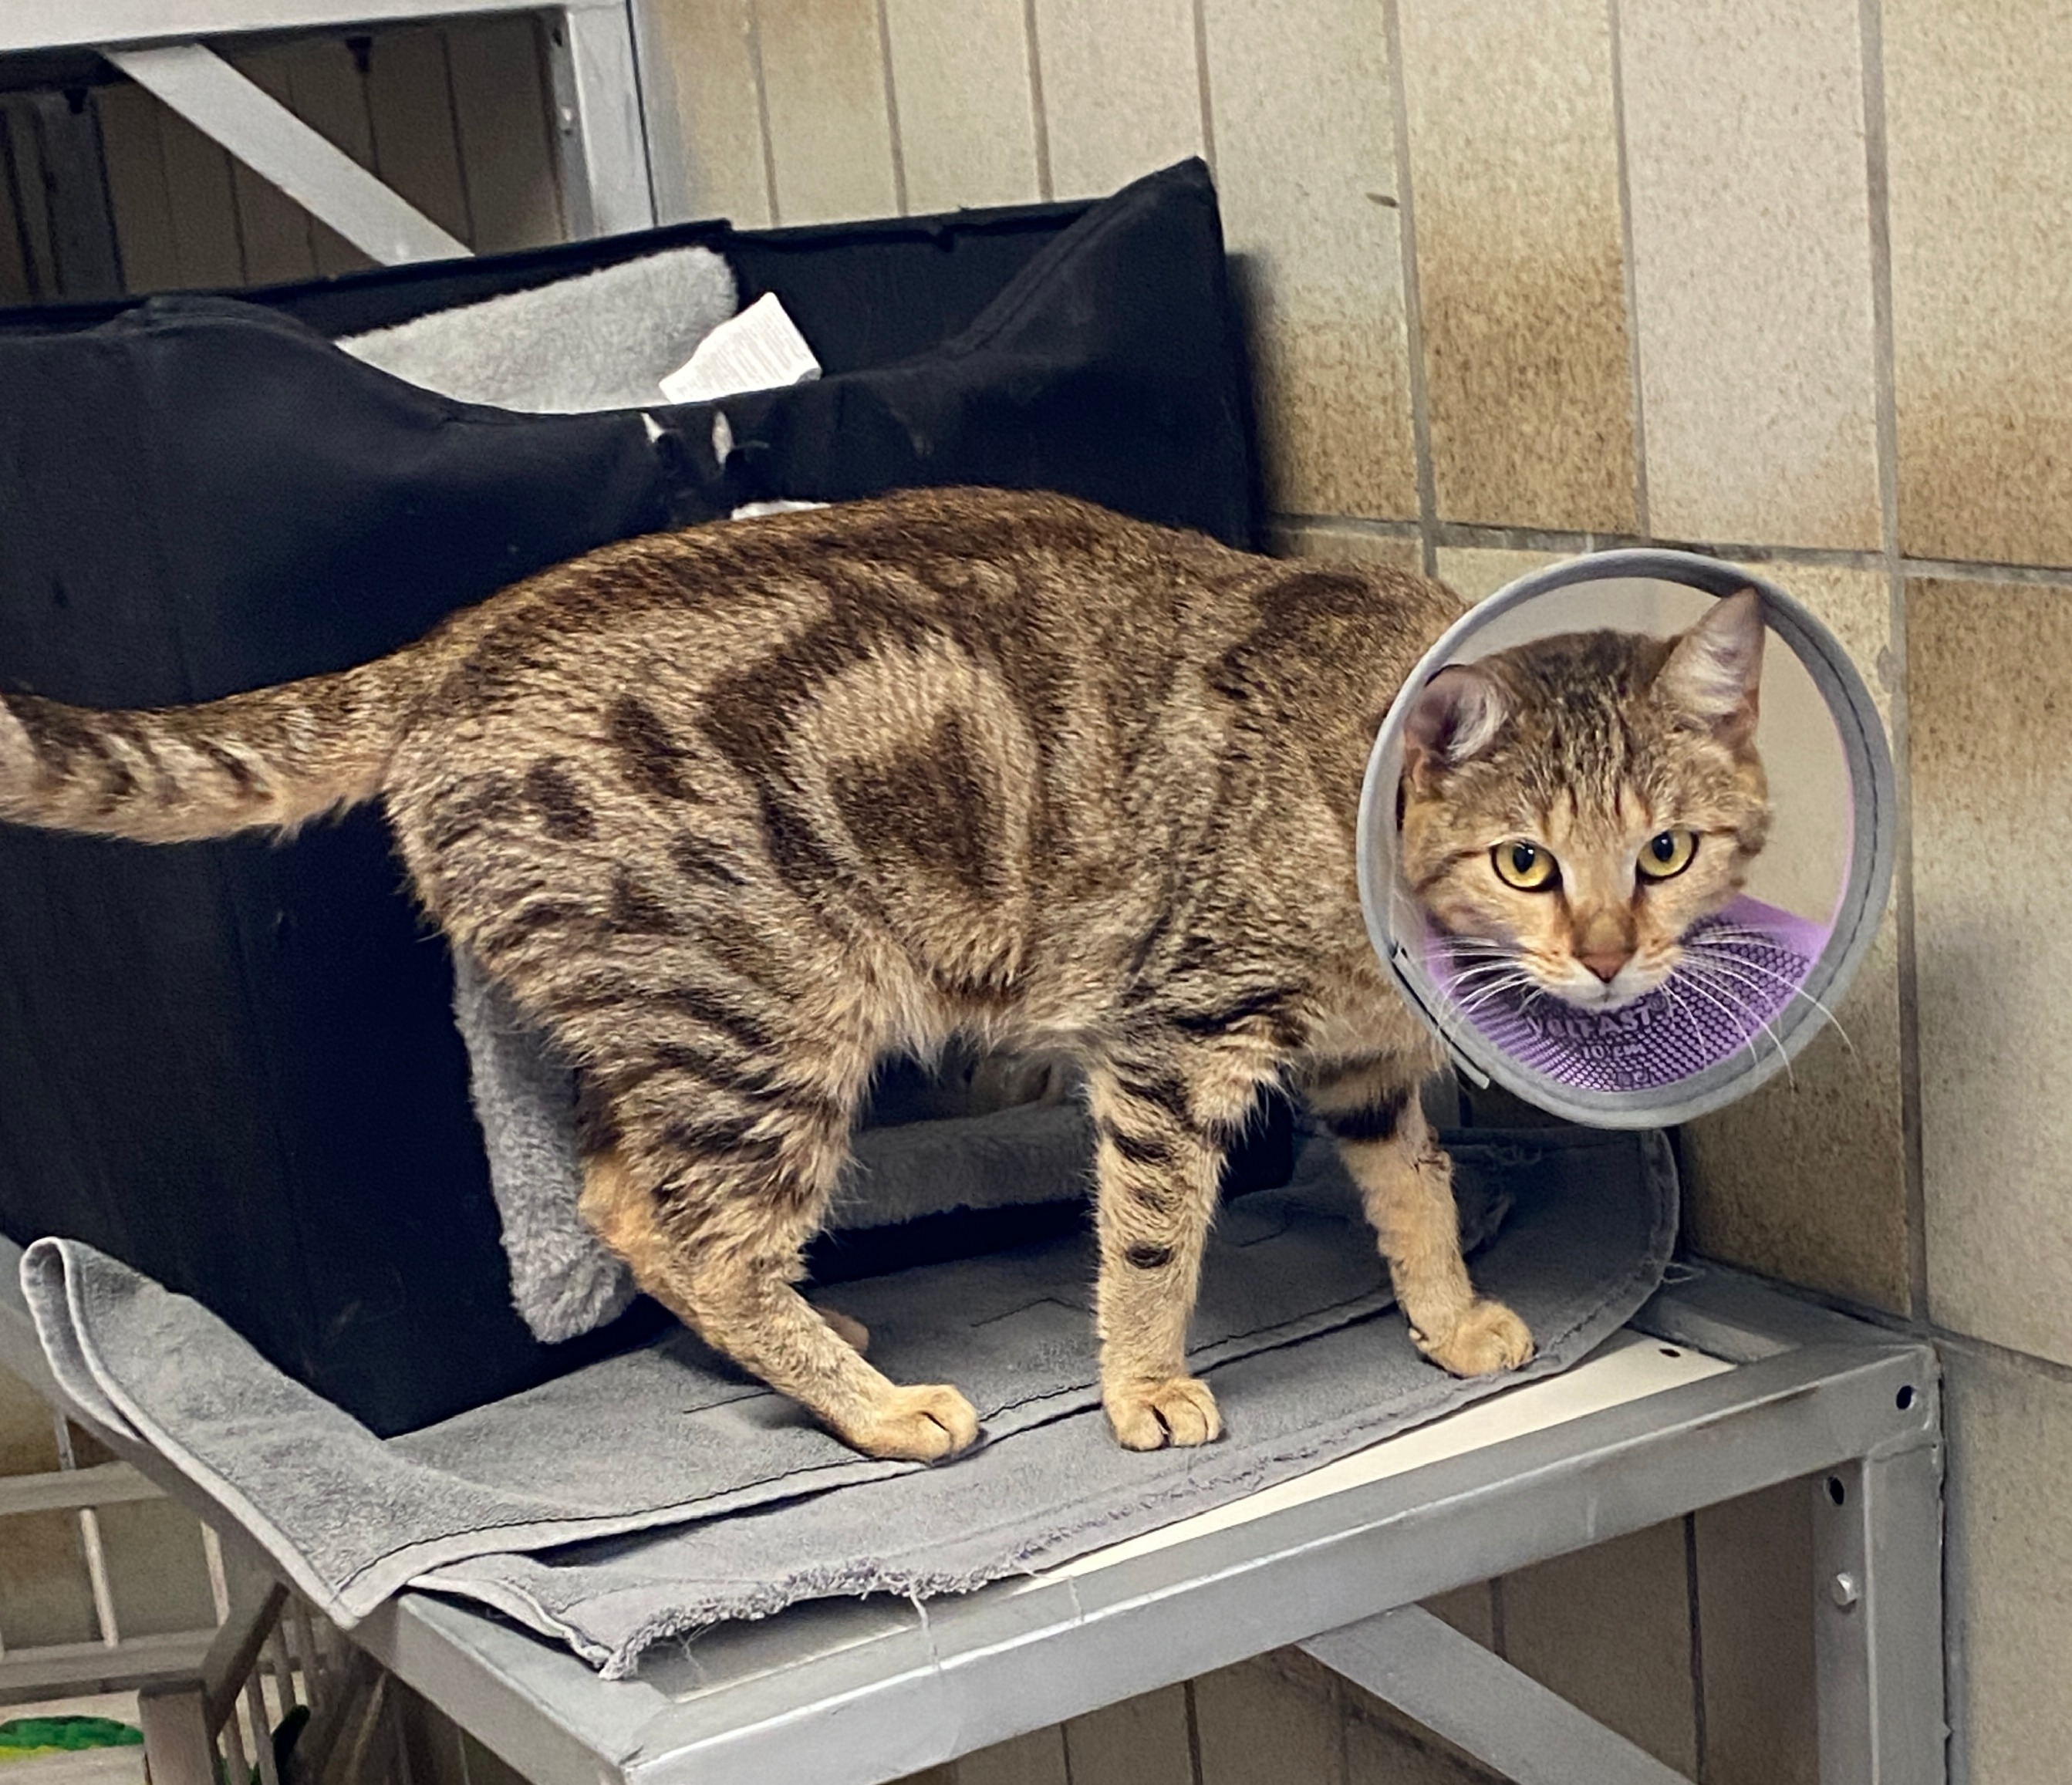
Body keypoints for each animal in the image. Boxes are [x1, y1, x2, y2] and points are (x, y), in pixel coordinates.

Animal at [0, 487, 1767, 1461]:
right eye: (1525, 860)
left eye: (1664, 851)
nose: (1605, 955)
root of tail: (452, 646)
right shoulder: (1170, 1042)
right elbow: (1149, 1245)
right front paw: (1143, 1386)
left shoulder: (1359, 1062)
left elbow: (1412, 1194)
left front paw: (1452, 1315)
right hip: (767, 1026)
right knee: (700, 1235)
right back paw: (876, 1404)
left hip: (670, 1030)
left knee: (626, 1200)